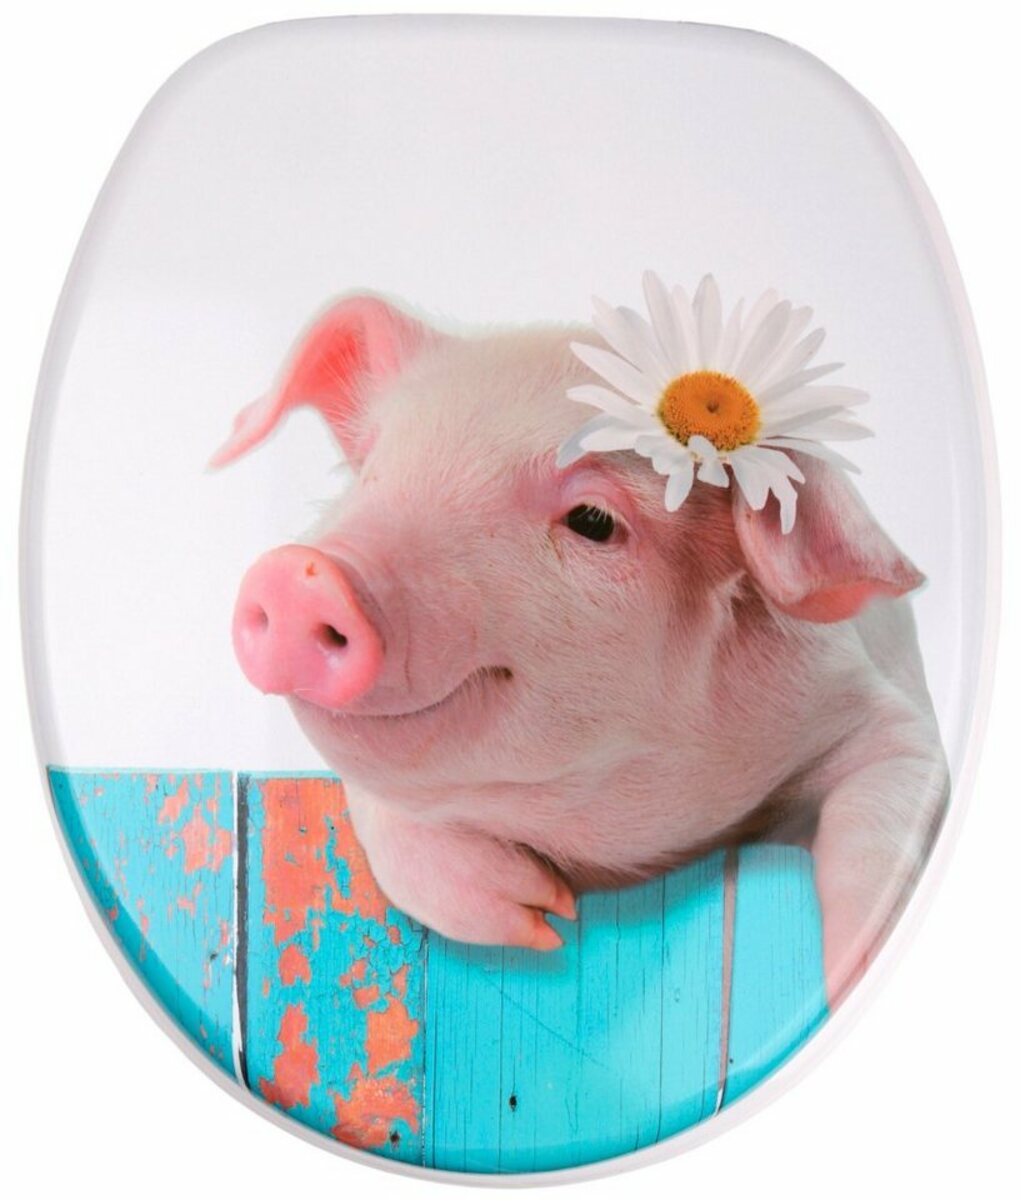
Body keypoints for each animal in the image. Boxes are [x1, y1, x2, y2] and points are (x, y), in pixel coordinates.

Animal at [212, 293, 949, 1005]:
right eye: (369, 469)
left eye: (593, 521)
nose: (300, 575)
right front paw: (542, 918)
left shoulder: (881, 715)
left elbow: (883, 827)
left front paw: (851, 971)